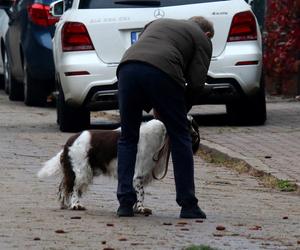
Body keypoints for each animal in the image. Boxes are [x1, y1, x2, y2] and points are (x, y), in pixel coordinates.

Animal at [38, 116, 202, 215]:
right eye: (185, 125)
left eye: (194, 125)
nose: (195, 136)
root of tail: (71, 139)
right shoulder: (137, 175)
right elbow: (141, 193)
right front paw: (141, 208)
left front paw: (135, 208)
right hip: (82, 171)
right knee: (73, 189)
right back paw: (75, 205)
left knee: (64, 187)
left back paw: (65, 205)